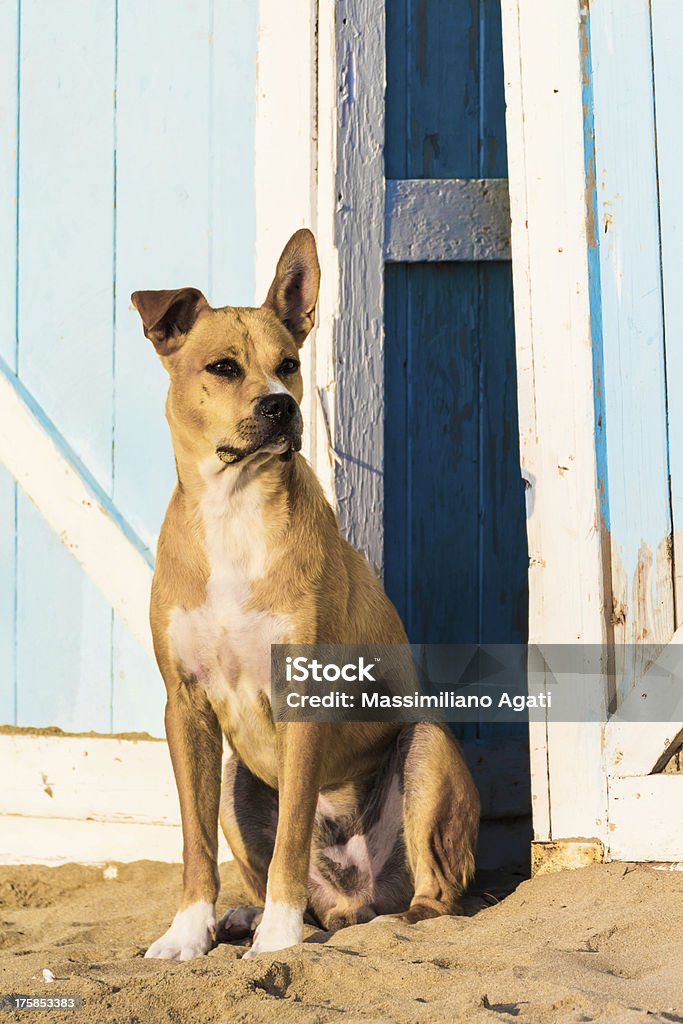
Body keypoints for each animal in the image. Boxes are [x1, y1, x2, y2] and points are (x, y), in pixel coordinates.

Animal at [132, 226, 481, 958]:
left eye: (289, 363)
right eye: (223, 368)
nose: (282, 405)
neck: (234, 511)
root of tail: (357, 896)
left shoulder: (302, 699)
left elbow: (291, 834)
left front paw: (278, 939)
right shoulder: (186, 705)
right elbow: (194, 844)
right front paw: (188, 932)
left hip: (427, 747)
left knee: (436, 897)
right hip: (234, 780)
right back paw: (245, 917)